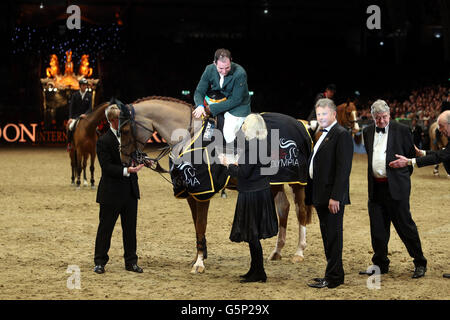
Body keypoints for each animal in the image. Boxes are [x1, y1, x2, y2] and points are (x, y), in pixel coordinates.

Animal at [116, 96, 312, 274]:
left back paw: (299, 252)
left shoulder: (203, 191)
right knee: (283, 207)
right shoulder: (191, 193)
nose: (124, 161)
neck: (189, 137)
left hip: (297, 182)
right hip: (274, 182)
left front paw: (199, 263)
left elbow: (201, 224)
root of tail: (299, 123)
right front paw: (198, 256)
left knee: (300, 211)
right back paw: (277, 251)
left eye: (124, 130)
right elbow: (196, 226)